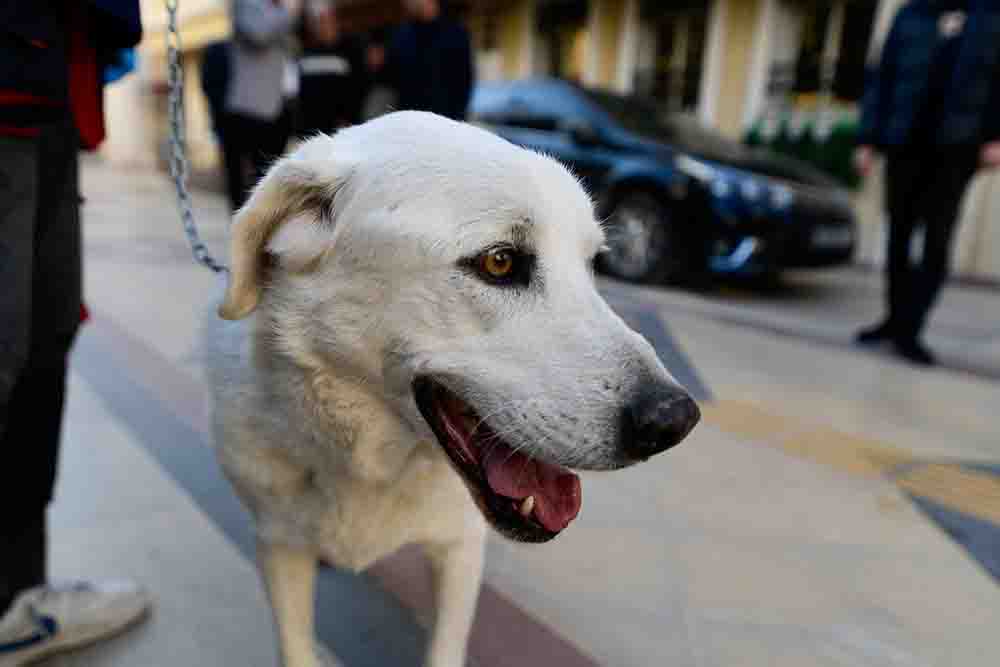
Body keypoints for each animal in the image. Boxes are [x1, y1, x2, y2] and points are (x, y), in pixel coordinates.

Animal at [207, 112, 700, 664]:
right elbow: (295, 647)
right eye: (500, 262)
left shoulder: (459, 548)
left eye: (592, 264)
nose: (674, 419)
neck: (370, 462)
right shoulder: (279, 544)